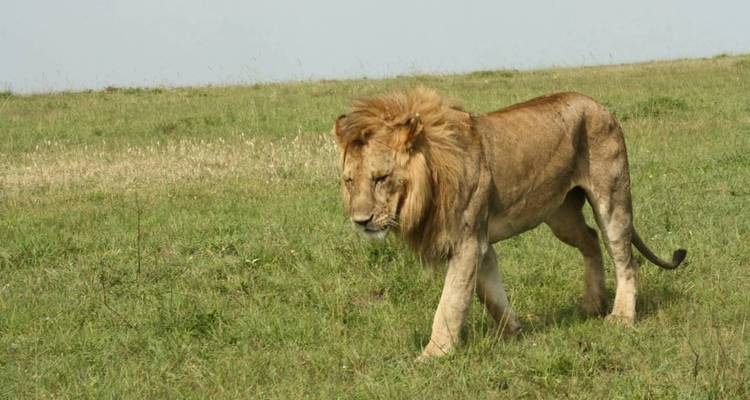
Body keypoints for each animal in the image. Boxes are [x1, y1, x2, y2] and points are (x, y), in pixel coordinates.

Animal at [333, 88, 686, 360]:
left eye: (381, 178)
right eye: (349, 181)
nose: (361, 221)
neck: (432, 178)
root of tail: (600, 105)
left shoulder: (468, 243)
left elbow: (451, 301)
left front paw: (434, 354)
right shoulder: (480, 243)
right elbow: (490, 293)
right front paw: (513, 332)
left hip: (611, 197)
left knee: (625, 259)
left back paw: (621, 317)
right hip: (559, 213)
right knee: (589, 240)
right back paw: (591, 304)